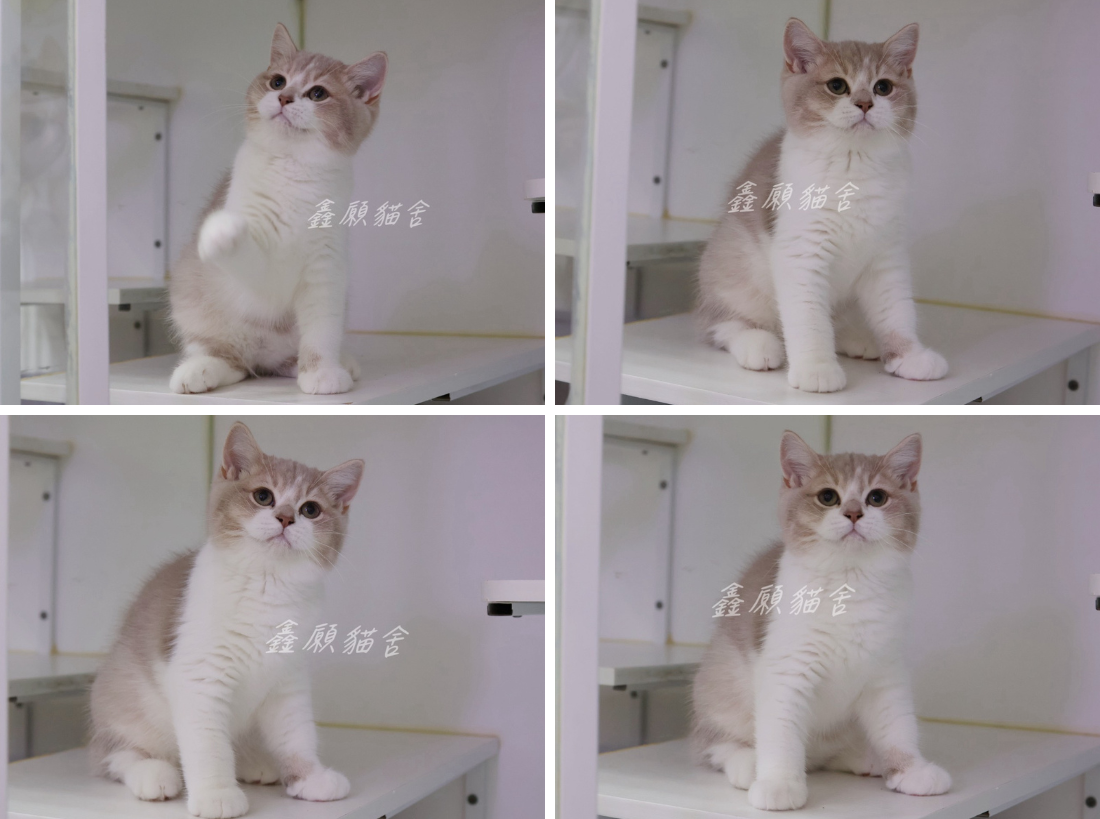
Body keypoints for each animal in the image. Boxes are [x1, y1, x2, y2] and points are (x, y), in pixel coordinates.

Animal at [89, 422, 364, 819]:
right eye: (263, 496)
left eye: (310, 509)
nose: (285, 517)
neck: (267, 586)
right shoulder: (198, 677)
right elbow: (208, 744)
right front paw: (216, 794)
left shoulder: (288, 680)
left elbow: (296, 733)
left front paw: (309, 777)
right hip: (121, 701)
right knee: (113, 755)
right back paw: (152, 772)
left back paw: (252, 760)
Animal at [168, 23, 387, 395]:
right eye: (278, 82)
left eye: (318, 93)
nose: (285, 98)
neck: (292, 168)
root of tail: (261, 357)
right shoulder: (259, 277)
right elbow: (247, 255)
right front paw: (221, 232)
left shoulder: (325, 268)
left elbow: (321, 329)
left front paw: (321, 371)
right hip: (195, 306)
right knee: (230, 359)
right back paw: (198, 369)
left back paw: (325, 363)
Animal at [690, 430, 951, 811]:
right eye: (828, 497)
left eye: (877, 497)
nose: (854, 512)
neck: (849, 582)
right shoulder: (785, 667)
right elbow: (781, 730)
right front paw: (779, 783)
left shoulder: (885, 670)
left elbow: (897, 724)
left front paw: (910, 769)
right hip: (719, 684)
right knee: (714, 744)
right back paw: (747, 763)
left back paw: (864, 757)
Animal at [695, 18, 947, 393]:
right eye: (837, 86)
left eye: (883, 87)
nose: (865, 103)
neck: (853, 165)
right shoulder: (800, 252)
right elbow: (809, 317)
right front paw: (816, 368)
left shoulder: (887, 254)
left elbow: (896, 309)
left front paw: (909, 355)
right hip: (731, 265)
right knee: (721, 324)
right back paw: (758, 343)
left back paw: (855, 336)